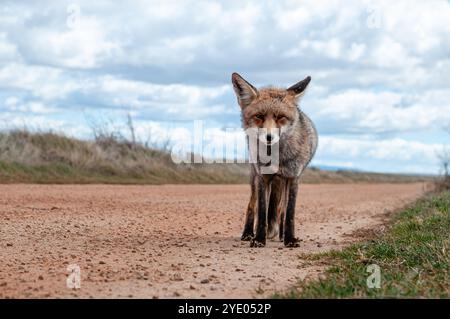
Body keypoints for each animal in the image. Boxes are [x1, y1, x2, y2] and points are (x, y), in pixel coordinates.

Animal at [230, 72, 318, 248]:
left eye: (281, 117)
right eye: (259, 116)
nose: (269, 137)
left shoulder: (293, 177)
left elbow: (289, 213)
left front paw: (290, 239)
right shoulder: (263, 178)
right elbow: (262, 211)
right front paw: (259, 239)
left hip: (283, 181)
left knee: (281, 210)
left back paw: (282, 234)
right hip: (254, 177)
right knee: (252, 205)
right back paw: (248, 233)